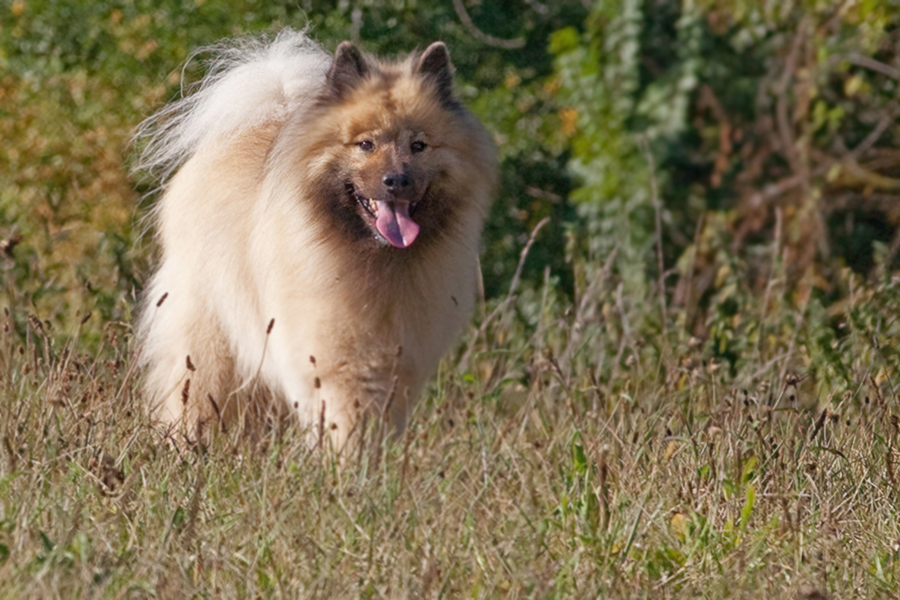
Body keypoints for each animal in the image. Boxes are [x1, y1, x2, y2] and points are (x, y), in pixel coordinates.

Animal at [134, 29, 500, 450]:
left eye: (418, 146)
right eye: (366, 144)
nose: (397, 181)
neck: (376, 261)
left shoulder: (399, 366)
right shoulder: (335, 360)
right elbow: (347, 424)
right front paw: (347, 464)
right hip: (212, 341)